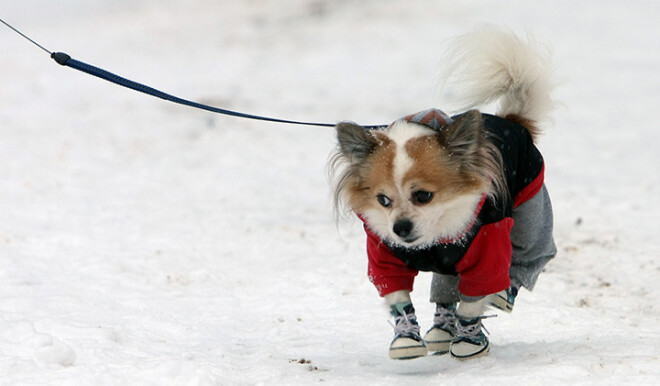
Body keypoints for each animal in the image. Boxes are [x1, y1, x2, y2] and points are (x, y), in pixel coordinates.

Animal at [330, 28, 556, 360]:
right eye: (383, 201)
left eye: (423, 196)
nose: (400, 228)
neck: (431, 242)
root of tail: (513, 121)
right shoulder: (384, 256)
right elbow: (397, 294)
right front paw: (406, 336)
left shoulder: (486, 248)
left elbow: (474, 300)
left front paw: (469, 339)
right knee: (445, 286)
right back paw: (441, 328)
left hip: (530, 211)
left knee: (530, 256)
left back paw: (503, 292)